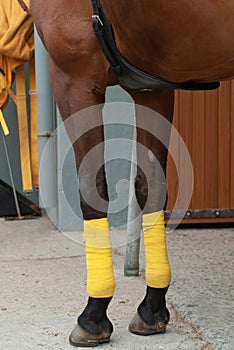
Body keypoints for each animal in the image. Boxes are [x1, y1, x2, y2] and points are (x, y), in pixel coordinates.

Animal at [19, 0, 233, 348]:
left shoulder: (74, 78)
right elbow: (152, 189)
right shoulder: (152, 87)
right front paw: (152, 306)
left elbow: (92, 189)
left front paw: (94, 312)